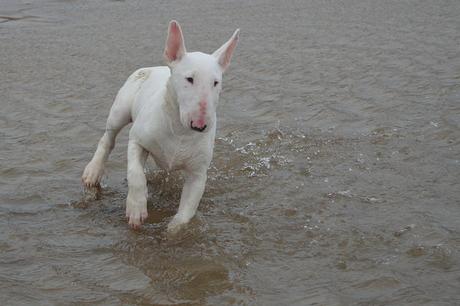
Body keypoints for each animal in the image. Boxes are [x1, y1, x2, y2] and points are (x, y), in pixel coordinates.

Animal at [82, 20, 239, 232]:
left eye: (216, 82)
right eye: (189, 79)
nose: (200, 125)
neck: (180, 131)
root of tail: (157, 67)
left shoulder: (198, 173)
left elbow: (187, 210)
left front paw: (172, 231)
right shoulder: (137, 140)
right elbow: (135, 174)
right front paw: (136, 210)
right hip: (120, 109)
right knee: (108, 139)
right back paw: (93, 171)